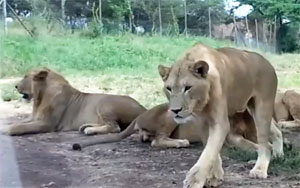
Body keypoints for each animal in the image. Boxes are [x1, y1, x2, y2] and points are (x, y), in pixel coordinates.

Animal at [0, 68, 146, 136]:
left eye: (25, 76)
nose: (15, 86)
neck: (40, 98)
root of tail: (143, 108)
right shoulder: (34, 117)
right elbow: (16, 122)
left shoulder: (47, 123)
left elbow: (18, 127)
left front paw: (6, 130)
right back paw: (86, 127)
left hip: (104, 104)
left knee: (115, 127)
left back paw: (90, 130)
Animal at [158, 43, 278, 187]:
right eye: (169, 89)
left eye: (187, 87)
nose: (175, 110)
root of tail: (267, 62)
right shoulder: (202, 123)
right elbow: (212, 150)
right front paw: (215, 177)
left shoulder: (220, 123)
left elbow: (209, 151)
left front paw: (194, 181)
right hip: (252, 108)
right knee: (276, 131)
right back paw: (279, 154)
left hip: (262, 108)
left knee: (264, 143)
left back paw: (259, 169)